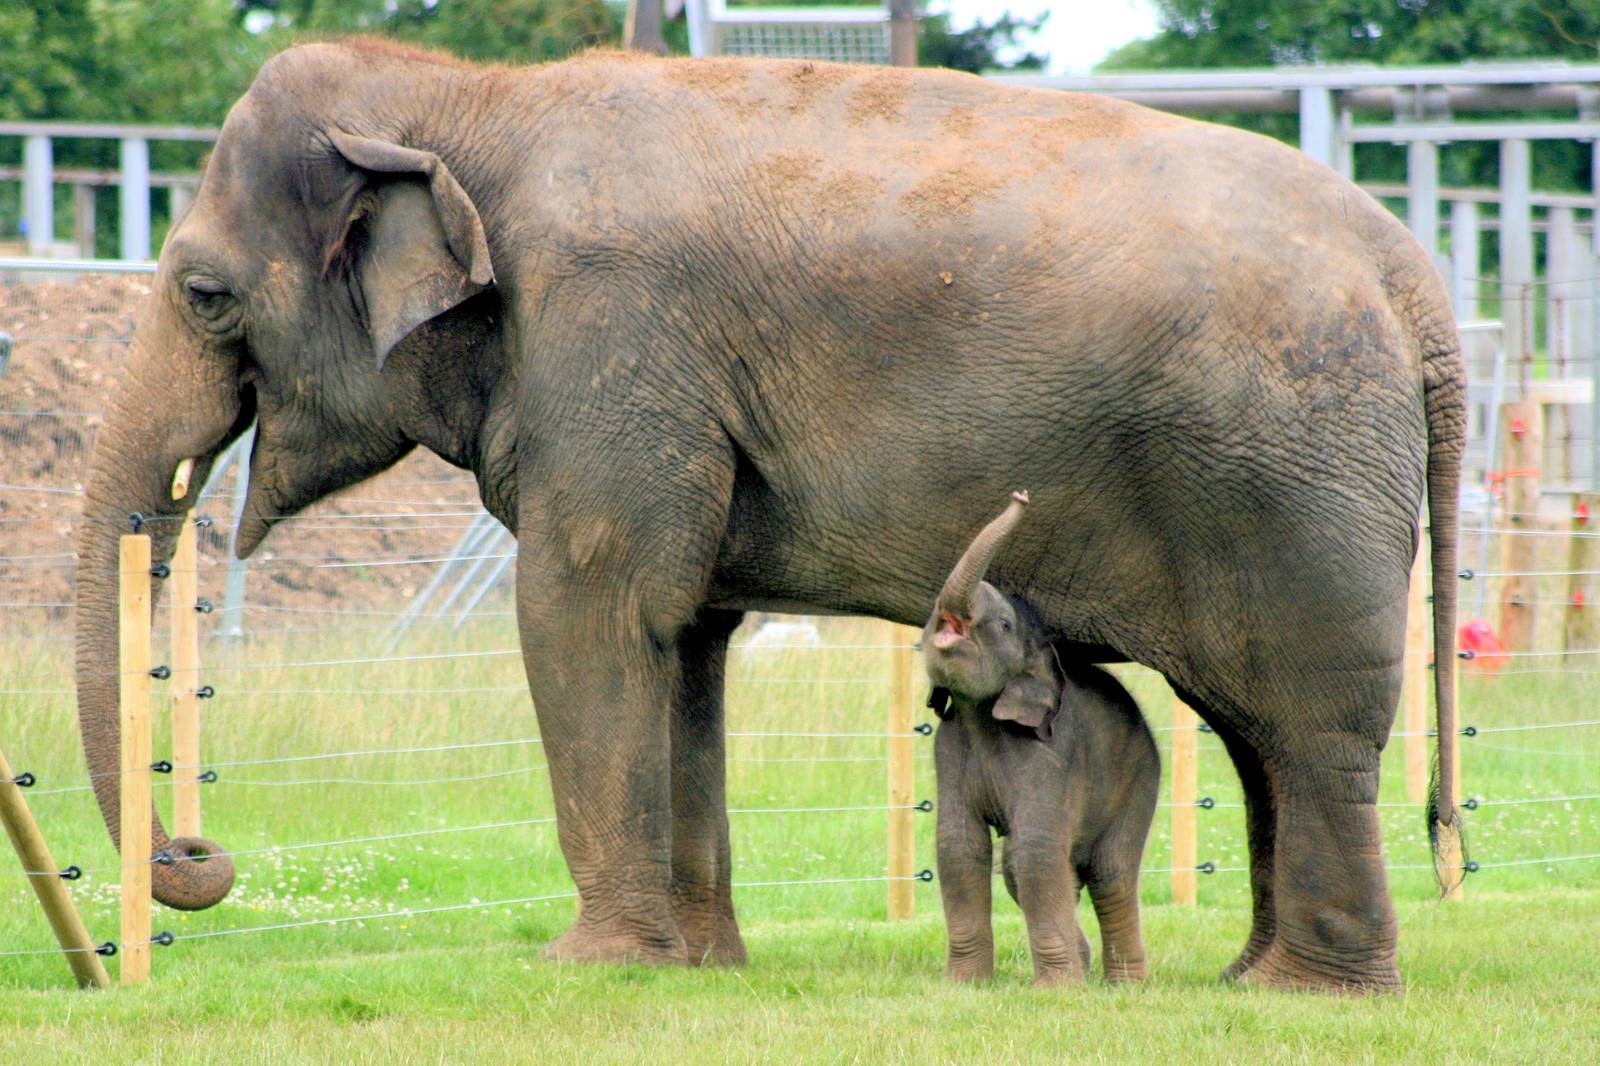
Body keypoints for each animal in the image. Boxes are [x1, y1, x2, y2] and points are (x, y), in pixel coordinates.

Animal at [925, 492, 1159, 986]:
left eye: (1004, 624)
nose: (1022, 495)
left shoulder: (1049, 754)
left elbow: (1036, 848)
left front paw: (1056, 990)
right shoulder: (948, 746)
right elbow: (959, 845)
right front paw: (963, 986)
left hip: (1140, 775)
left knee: (1109, 872)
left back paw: (1128, 985)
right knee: (1027, 865)